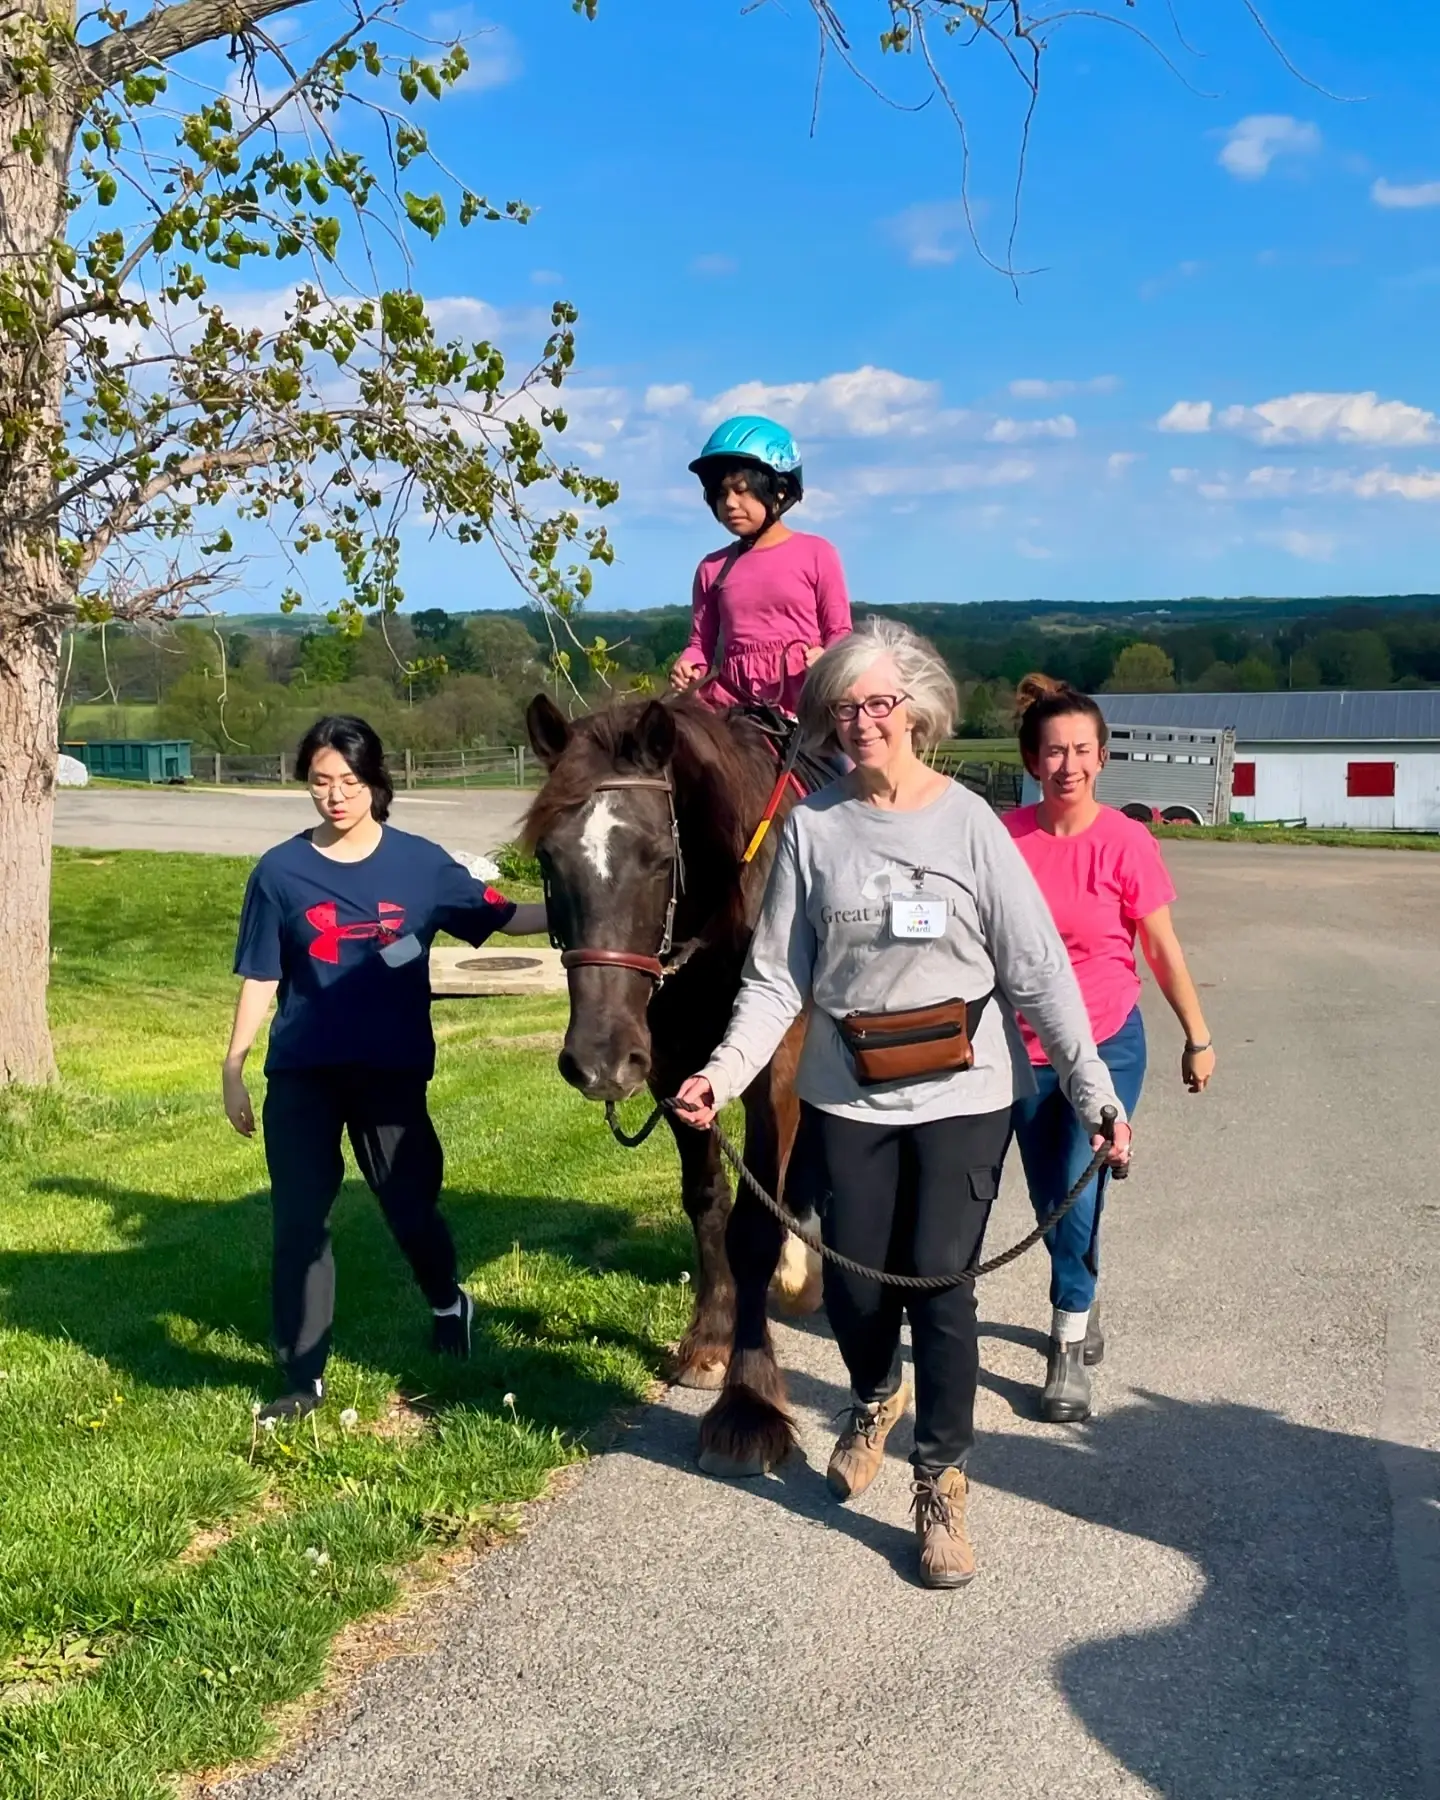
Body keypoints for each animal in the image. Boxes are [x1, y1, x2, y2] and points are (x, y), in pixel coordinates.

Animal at [525, 687, 820, 1476]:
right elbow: (707, 1201)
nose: (598, 1061)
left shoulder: (776, 1071)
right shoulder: (674, 1068)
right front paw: (711, 1339)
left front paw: (750, 1403)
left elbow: (754, 1221)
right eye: (547, 859)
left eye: (659, 857)